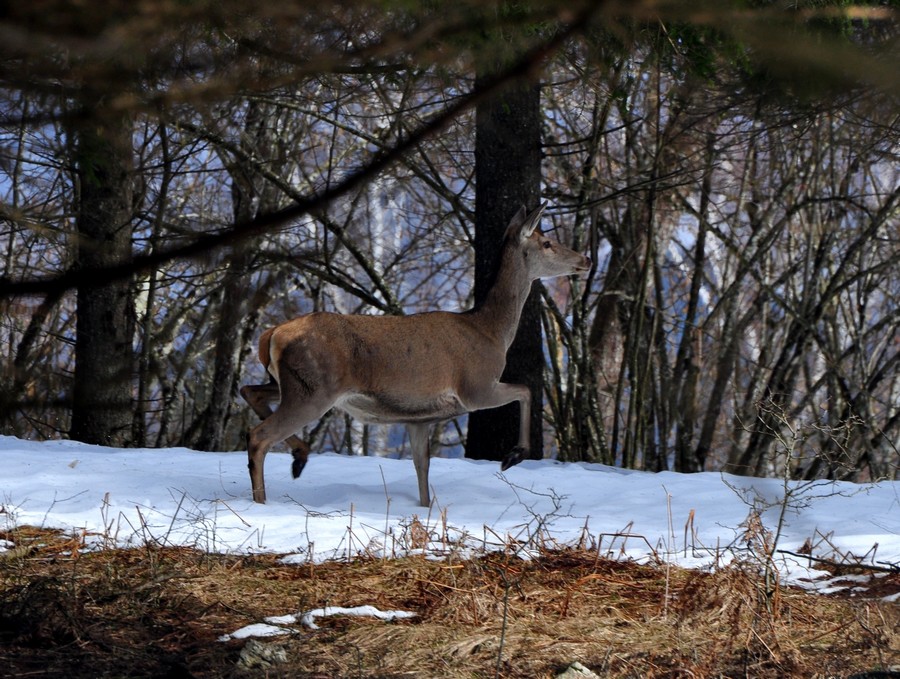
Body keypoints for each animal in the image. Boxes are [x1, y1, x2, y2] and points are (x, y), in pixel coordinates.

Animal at [239, 205, 592, 508]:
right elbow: (526, 390)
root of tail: (271, 335)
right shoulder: (475, 386)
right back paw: (264, 498)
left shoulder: (418, 418)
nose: (586, 259)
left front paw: (425, 509)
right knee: (258, 435)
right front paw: (514, 455)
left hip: (290, 383)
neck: (490, 332)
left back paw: (299, 455)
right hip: (314, 389)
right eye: (547, 242)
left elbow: (422, 466)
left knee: (249, 391)